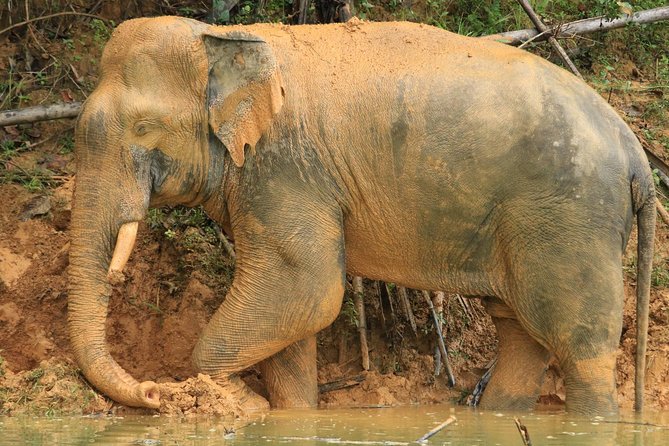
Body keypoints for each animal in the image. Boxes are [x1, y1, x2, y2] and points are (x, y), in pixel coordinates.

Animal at [68, 16, 652, 414]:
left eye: (143, 128)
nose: (151, 391)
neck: (228, 37)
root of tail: (634, 149)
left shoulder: (285, 169)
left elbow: (308, 288)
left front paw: (227, 399)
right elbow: (295, 313)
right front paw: (288, 415)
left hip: (572, 220)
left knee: (580, 347)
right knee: (521, 337)